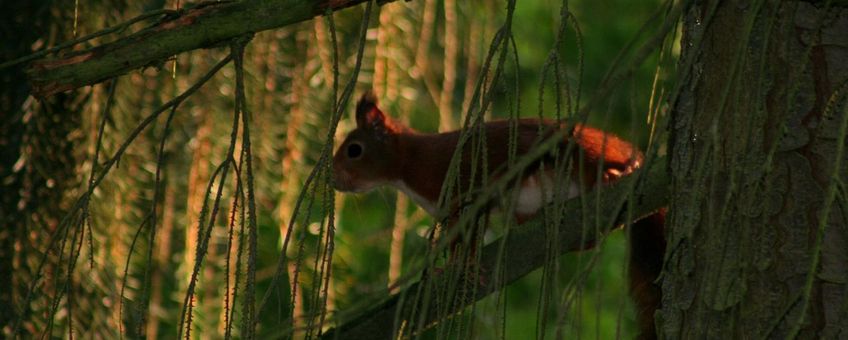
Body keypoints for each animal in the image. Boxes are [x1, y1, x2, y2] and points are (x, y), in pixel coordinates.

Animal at [332, 91, 668, 338]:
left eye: (354, 149)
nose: (332, 180)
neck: (410, 163)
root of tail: (626, 148)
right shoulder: (455, 210)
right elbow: (462, 235)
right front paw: (448, 266)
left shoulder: (466, 182)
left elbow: (470, 231)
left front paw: (462, 267)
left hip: (575, 148)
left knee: (591, 161)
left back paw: (614, 173)